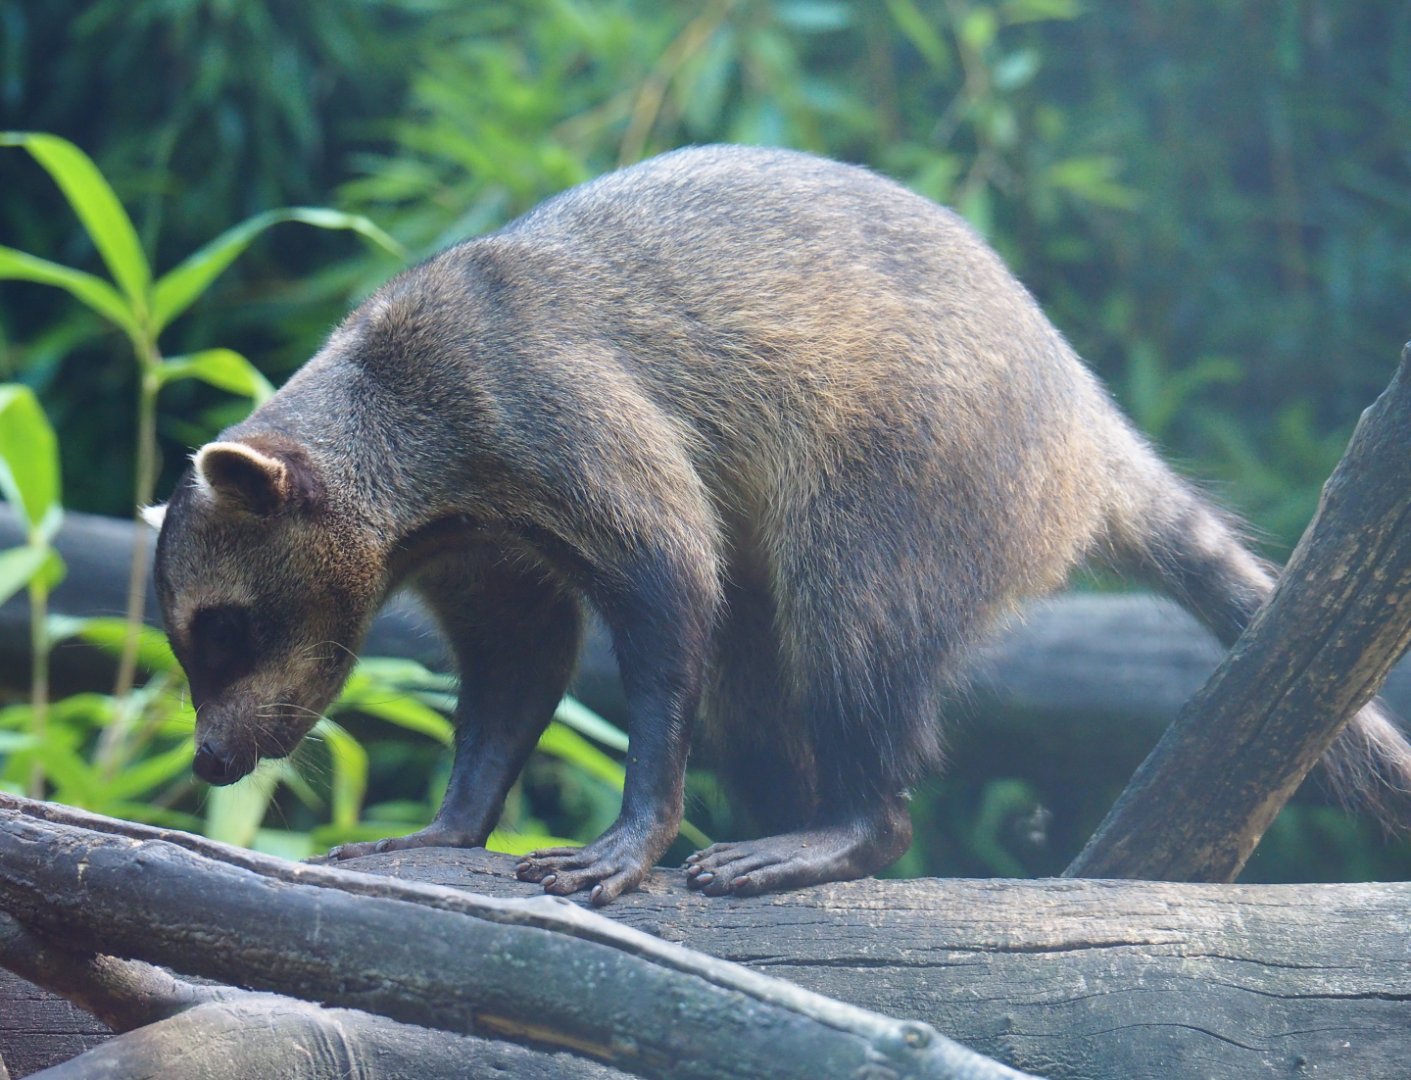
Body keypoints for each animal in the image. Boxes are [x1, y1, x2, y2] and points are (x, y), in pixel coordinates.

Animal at [148, 145, 1411, 905]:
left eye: (222, 628)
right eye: (187, 637)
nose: (207, 760)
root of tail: (1085, 428)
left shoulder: (548, 407)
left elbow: (670, 583)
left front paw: (640, 823)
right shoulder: (478, 546)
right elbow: (516, 663)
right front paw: (457, 818)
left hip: (925, 474)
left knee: (844, 626)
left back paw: (848, 822)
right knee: (758, 693)